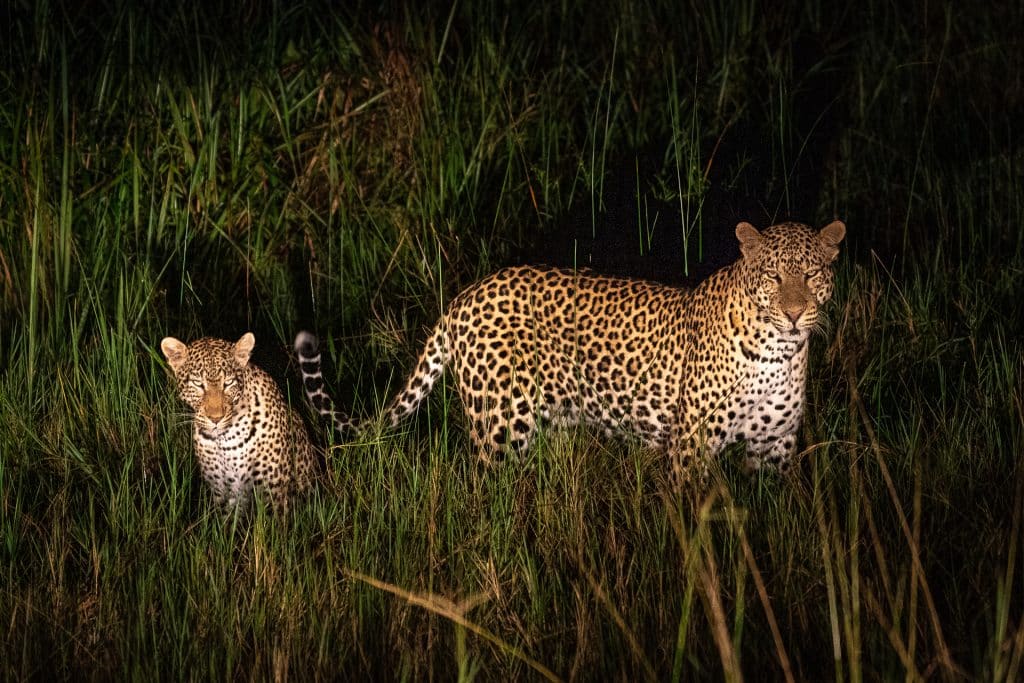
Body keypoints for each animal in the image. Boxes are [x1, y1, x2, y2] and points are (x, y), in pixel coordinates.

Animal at [161, 332, 318, 512]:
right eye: (198, 384)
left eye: (228, 383)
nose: (216, 418)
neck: (224, 442)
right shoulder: (221, 491)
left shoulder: (275, 491)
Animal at [295, 219, 845, 487]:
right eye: (773, 276)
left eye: (811, 274)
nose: (795, 314)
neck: (778, 352)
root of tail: (464, 297)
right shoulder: (691, 447)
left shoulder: (774, 448)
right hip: (500, 427)